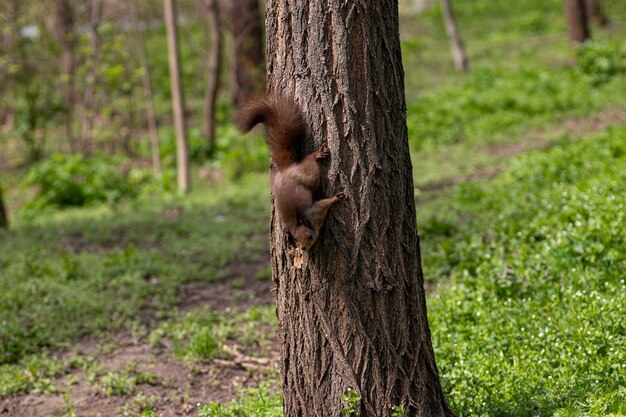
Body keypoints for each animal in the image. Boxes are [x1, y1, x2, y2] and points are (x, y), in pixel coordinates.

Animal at [234, 95, 344, 250]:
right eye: (296, 238)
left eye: (310, 237)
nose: (303, 248)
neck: (302, 223)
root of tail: (286, 170)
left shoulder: (315, 213)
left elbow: (324, 203)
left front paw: (336, 198)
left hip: (310, 177)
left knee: (310, 163)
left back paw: (317, 154)